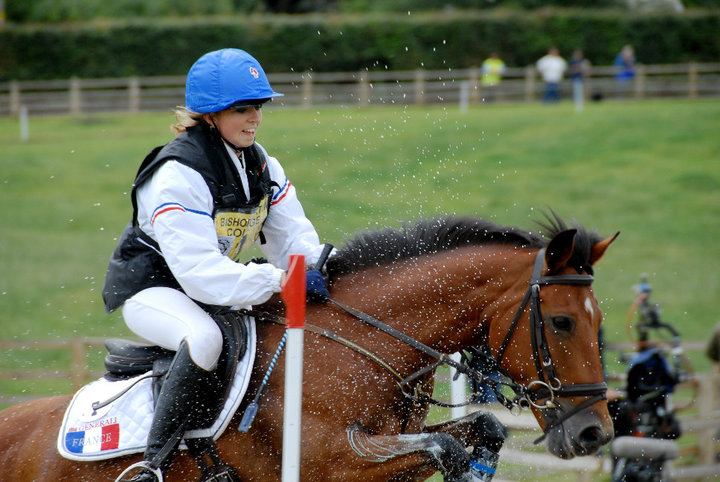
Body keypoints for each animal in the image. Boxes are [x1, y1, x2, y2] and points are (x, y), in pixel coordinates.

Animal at [0, 214, 620, 478]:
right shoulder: (327, 460)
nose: (595, 434)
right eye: (562, 322)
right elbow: (445, 447)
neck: (361, 345)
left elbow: (481, 430)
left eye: (598, 321)